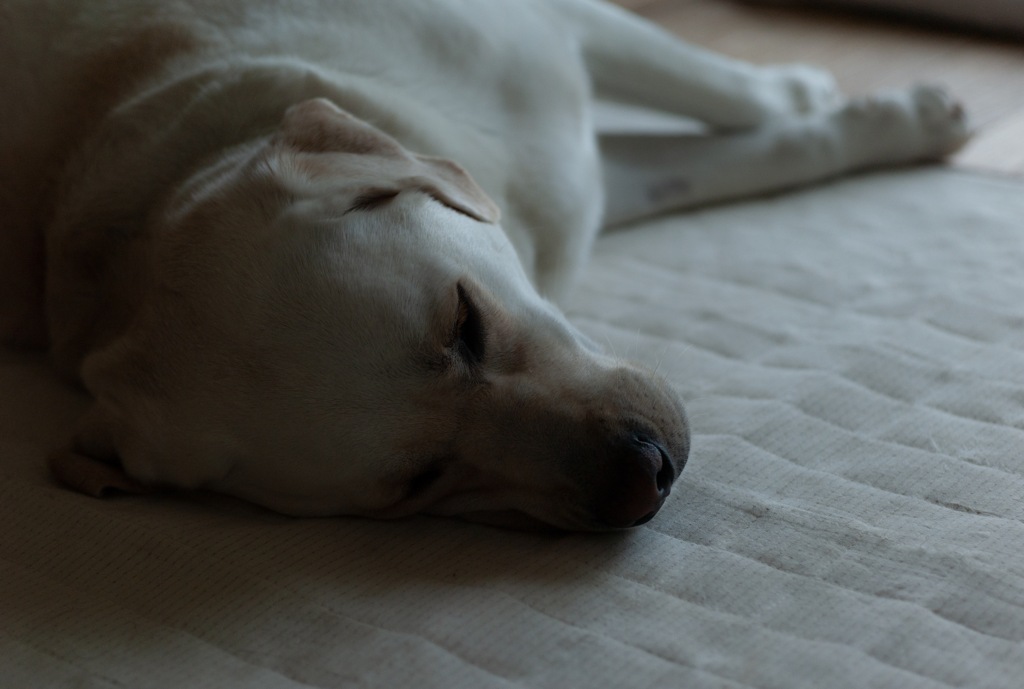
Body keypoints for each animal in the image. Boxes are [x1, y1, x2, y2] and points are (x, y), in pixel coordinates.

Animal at [0, 0, 962, 528]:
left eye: (466, 323)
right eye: (416, 482)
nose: (644, 476)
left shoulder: (543, 33)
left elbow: (731, 99)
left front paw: (866, 106)